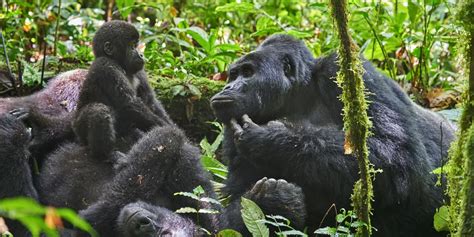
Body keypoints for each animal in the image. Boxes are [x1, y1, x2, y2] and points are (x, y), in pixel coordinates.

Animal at [212, 34, 456, 236]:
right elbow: (228, 216)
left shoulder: (345, 70)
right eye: (232, 75)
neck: (298, 94)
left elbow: (398, 156)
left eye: (248, 72)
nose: (227, 88)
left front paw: (271, 140)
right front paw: (271, 200)